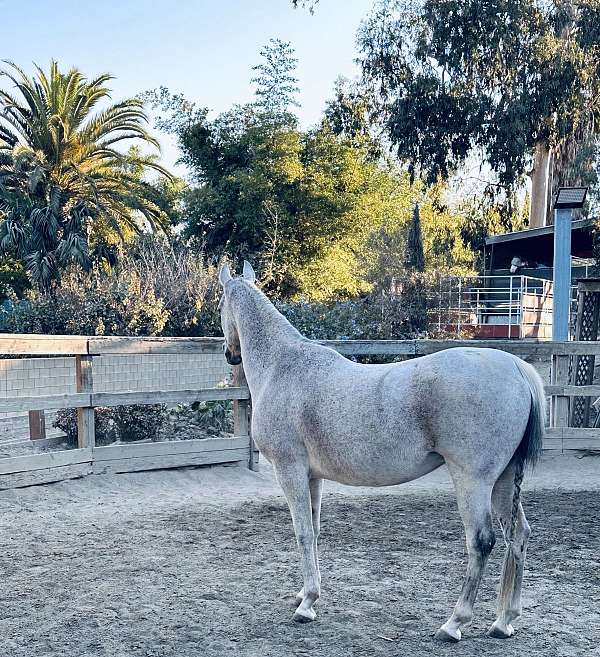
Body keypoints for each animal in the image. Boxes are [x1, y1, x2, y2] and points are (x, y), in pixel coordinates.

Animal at [218, 262, 545, 643]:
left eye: (220, 304)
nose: (229, 354)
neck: (282, 366)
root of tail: (517, 369)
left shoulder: (290, 470)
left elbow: (302, 533)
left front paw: (307, 604)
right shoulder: (312, 477)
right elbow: (314, 530)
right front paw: (304, 594)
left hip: (473, 481)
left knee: (481, 542)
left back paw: (454, 623)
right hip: (504, 480)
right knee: (518, 535)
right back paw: (504, 621)